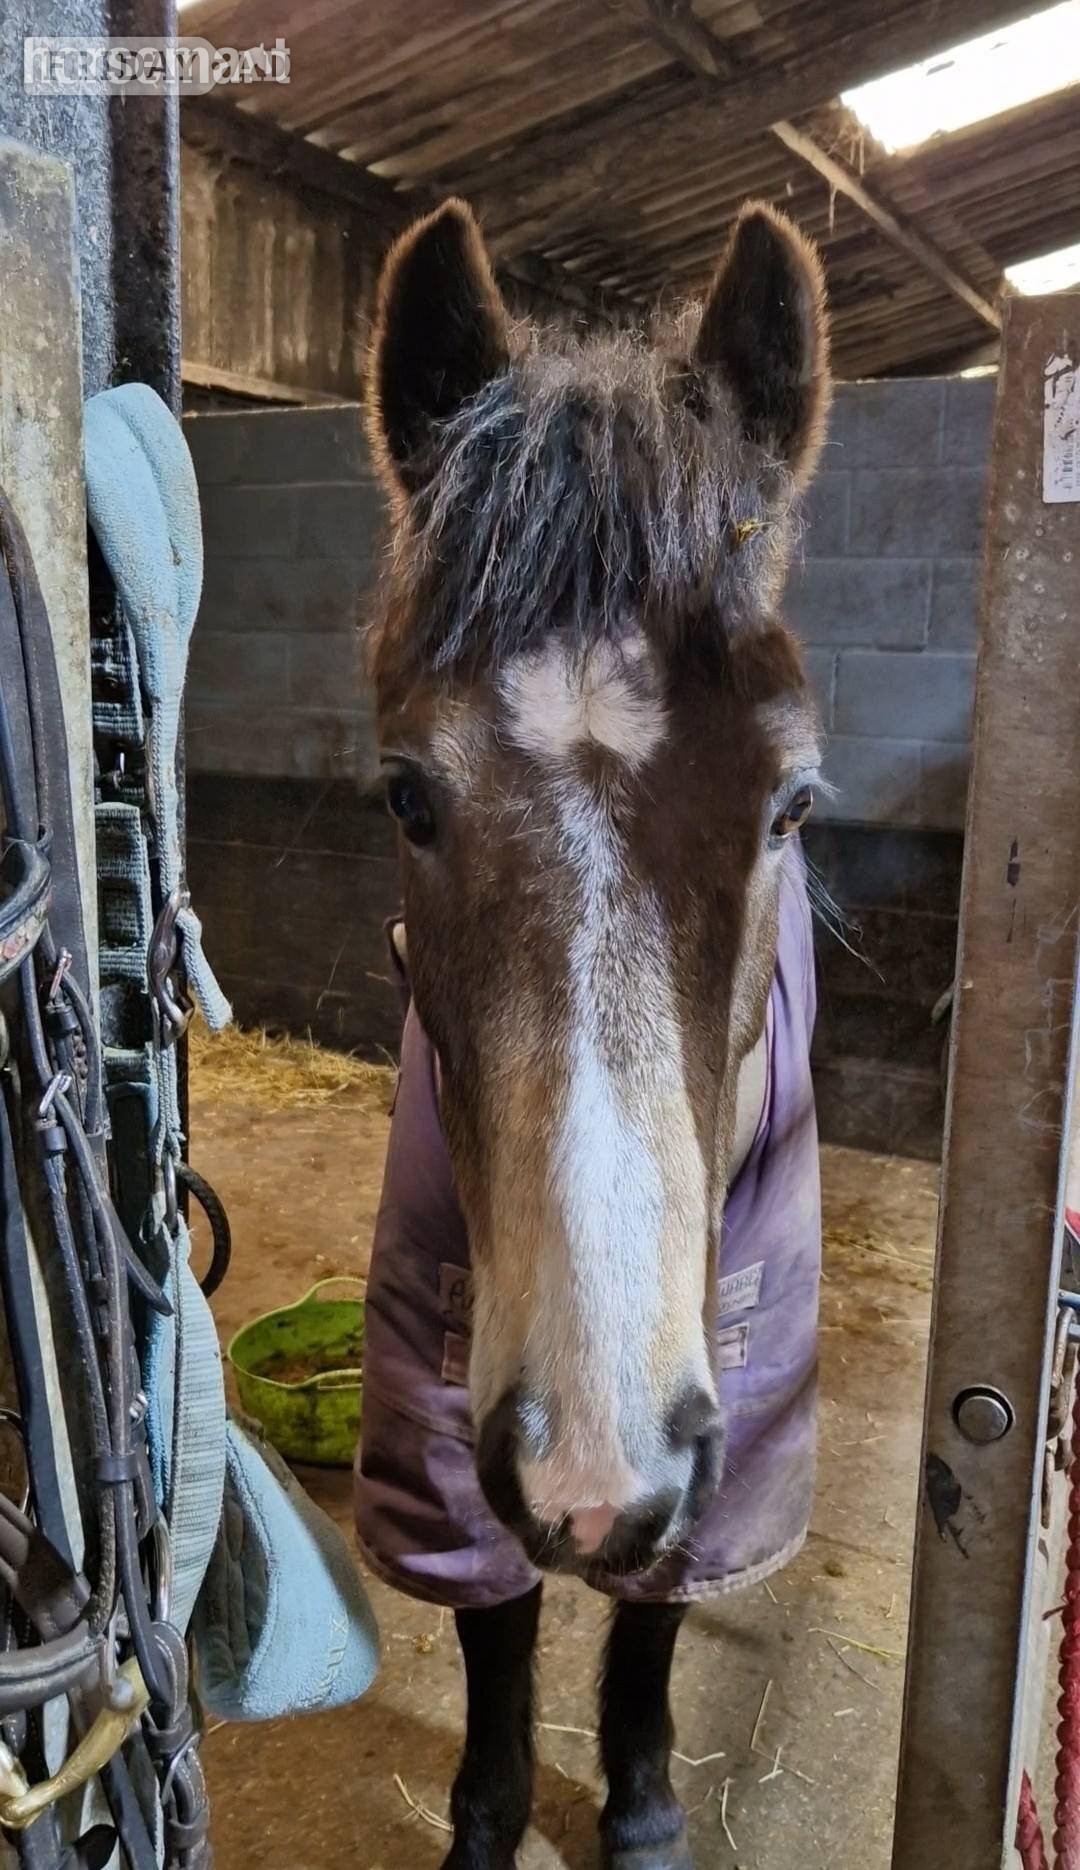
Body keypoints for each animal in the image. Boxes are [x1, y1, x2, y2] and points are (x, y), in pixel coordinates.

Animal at [354, 195, 831, 1870]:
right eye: (407, 796)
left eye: (790, 803)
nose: (589, 1476)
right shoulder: (437, 1375)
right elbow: (494, 1627)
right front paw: (487, 1824)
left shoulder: (738, 1394)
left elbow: (655, 1619)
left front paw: (642, 1815)